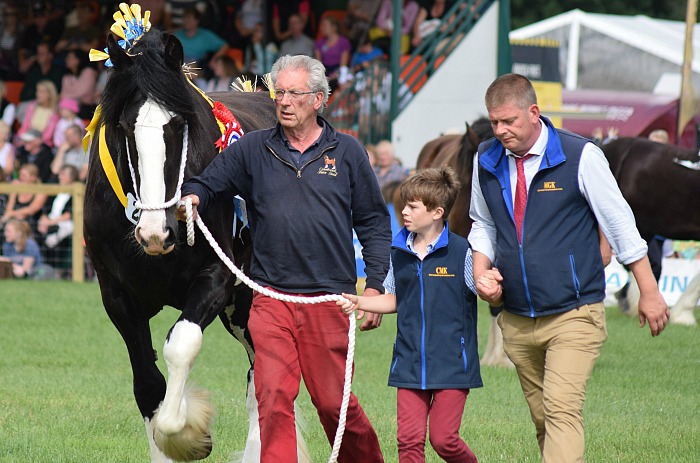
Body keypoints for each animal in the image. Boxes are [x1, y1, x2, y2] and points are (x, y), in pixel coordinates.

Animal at [82, 30, 278, 462]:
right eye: (125, 126)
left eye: (176, 124)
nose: (156, 233)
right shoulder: (117, 296)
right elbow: (148, 386)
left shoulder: (216, 279)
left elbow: (182, 344)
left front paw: (189, 434)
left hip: (249, 300)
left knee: (263, 375)